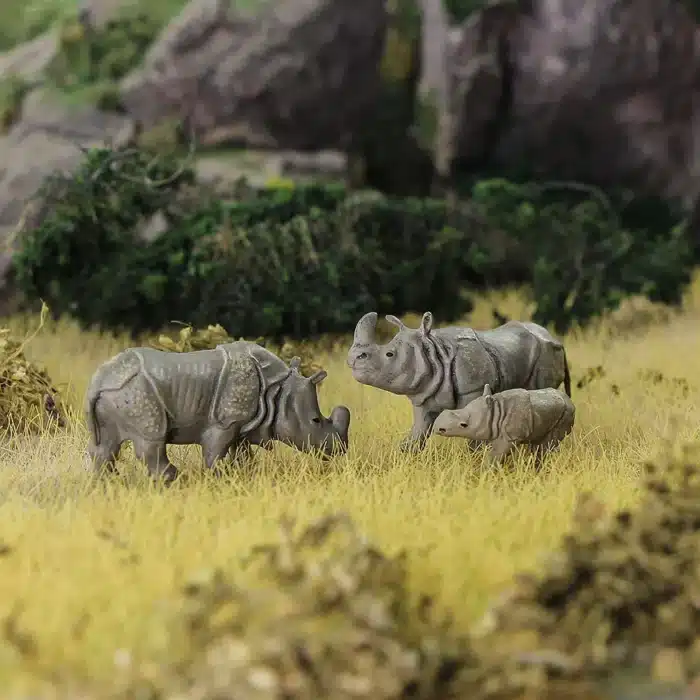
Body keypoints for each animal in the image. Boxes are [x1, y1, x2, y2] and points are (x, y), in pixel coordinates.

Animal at [84, 340, 351, 483]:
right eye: (315, 420)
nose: (340, 450)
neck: (278, 392)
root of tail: (98, 382)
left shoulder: (245, 423)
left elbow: (242, 454)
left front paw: (244, 477)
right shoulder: (224, 422)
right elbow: (215, 454)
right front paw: (220, 479)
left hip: (114, 395)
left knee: (105, 445)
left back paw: (106, 485)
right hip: (137, 392)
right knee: (151, 439)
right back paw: (175, 480)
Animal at [347, 311, 571, 453]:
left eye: (390, 354)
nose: (352, 360)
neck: (434, 351)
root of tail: (555, 338)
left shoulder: (474, 390)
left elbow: (474, 434)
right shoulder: (423, 395)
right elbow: (417, 434)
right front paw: (405, 455)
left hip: (547, 353)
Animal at [433, 384, 575, 465]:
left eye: (464, 425)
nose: (437, 429)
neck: (496, 412)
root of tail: (569, 400)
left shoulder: (511, 436)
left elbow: (496, 454)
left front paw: (485, 471)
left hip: (567, 412)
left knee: (544, 447)